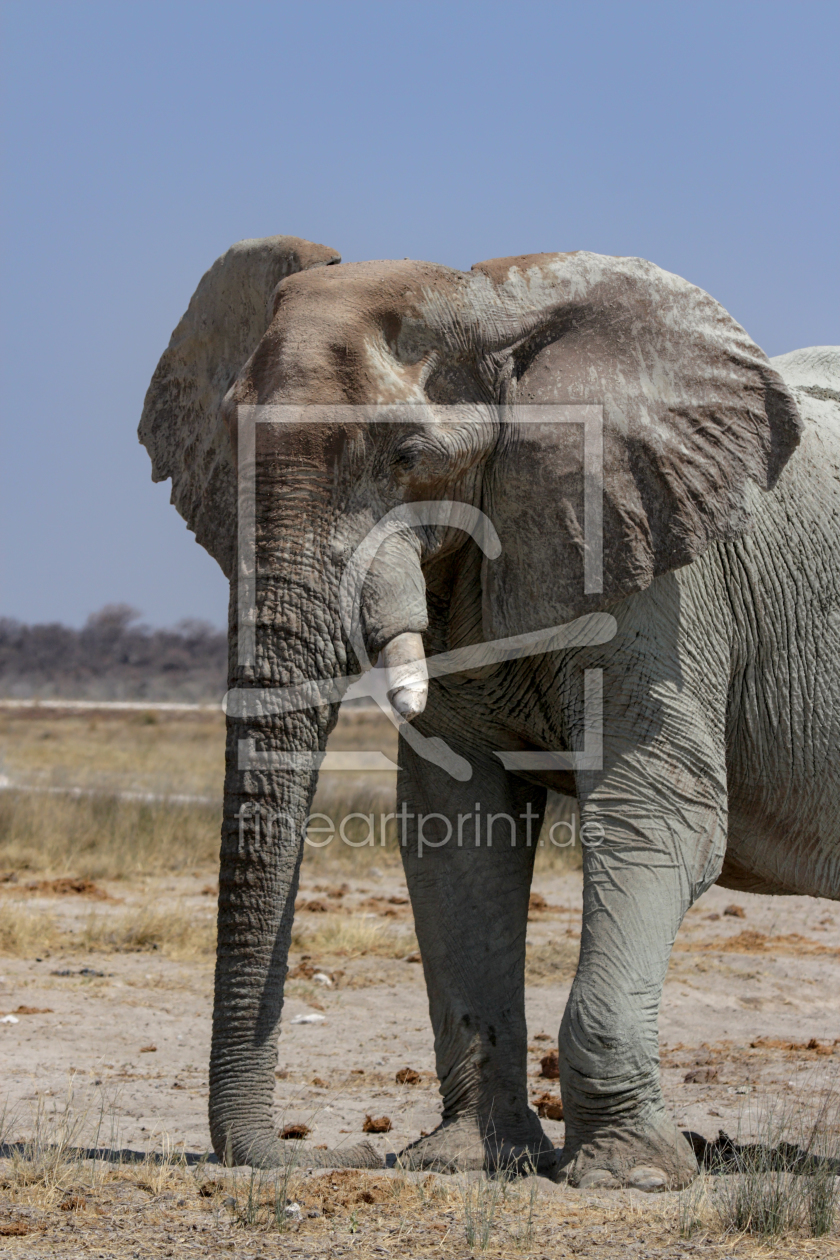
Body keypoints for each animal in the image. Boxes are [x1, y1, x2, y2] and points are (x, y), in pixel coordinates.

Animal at [139, 236, 840, 1189]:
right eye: (227, 436)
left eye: (407, 455)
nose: (310, 1153)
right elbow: (459, 830)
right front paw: (469, 1162)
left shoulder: (662, 580)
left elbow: (659, 814)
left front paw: (629, 1177)